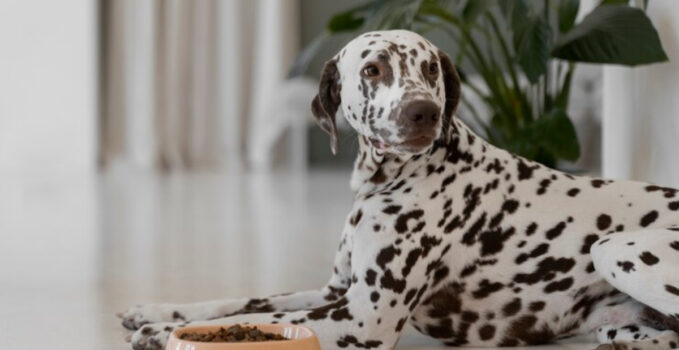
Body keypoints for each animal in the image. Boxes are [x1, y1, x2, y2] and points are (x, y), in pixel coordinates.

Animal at [119, 30, 679, 350]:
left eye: (430, 67)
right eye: (373, 69)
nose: (423, 112)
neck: (391, 180)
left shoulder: (363, 314)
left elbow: (271, 318)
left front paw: (163, 334)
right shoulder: (336, 291)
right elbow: (241, 301)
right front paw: (156, 312)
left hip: (614, 247)